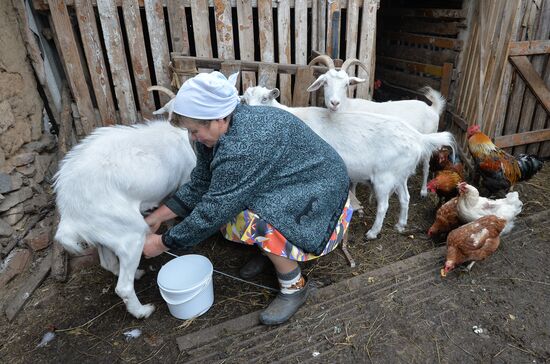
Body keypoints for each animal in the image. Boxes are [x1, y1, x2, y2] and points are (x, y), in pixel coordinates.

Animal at [54, 120, 196, 318]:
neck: (183, 140)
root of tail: (69, 214)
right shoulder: (185, 180)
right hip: (130, 235)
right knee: (123, 287)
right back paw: (142, 311)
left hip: (106, 235)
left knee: (109, 264)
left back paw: (137, 274)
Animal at [242, 85, 458, 239]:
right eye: (244, 100)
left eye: (265, 99)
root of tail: (417, 137)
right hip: (400, 174)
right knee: (405, 198)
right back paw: (400, 225)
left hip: (385, 177)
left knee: (384, 206)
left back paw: (372, 233)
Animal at [308, 56, 446, 198]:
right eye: (325, 82)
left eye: (346, 84)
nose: (334, 103)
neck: (347, 107)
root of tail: (432, 108)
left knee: (426, 166)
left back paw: (423, 191)